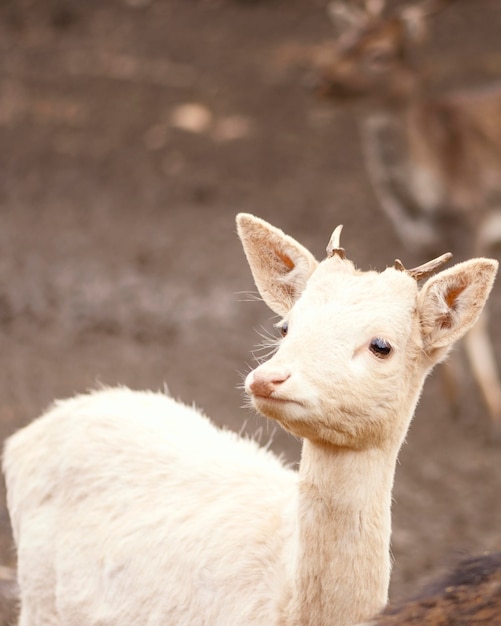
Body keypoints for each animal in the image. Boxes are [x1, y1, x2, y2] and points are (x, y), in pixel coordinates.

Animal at [2, 213, 496, 624]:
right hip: (37, 601)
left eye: (381, 345)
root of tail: (27, 435)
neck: (285, 603)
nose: (268, 377)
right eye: (285, 326)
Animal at [314, 0, 500, 436]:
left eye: (379, 55)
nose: (322, 84)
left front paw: (494, 413)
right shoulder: (414, 237)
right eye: (342, 42)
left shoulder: (472, 226)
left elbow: (475, 323)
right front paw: (453, 405)